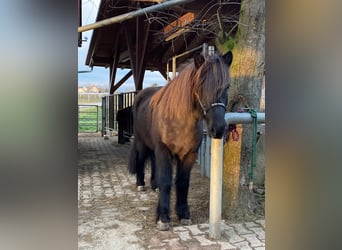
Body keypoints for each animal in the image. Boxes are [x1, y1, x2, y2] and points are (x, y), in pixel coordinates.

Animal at [128, 50, 232, 230]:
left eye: (227, 87)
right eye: (201, 85)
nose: (218, 129)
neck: (179, 120)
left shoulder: (189, 154)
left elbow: (183, 182)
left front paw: (183, 214)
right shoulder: (164, 150)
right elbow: (166, 181)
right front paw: (163, 218)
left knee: (153, 162)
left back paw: (154, 185)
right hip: (142, 143)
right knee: (141, 160)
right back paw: (141, 184)